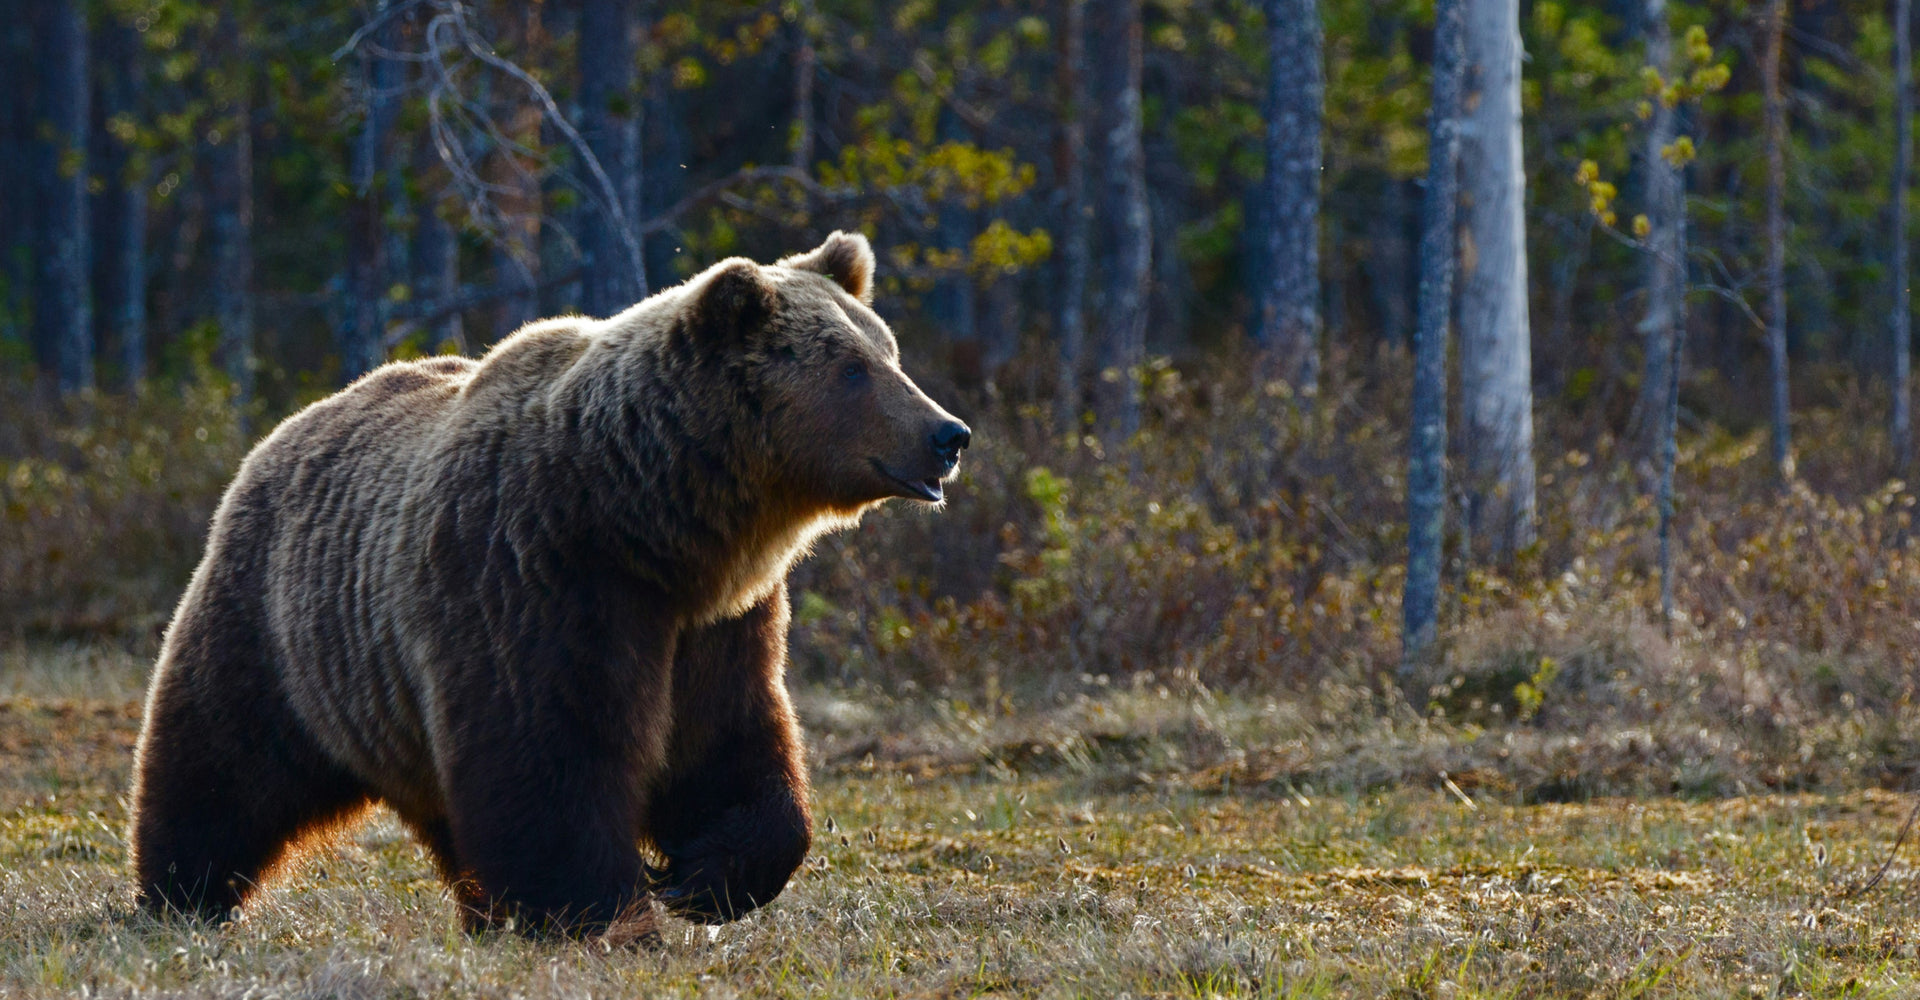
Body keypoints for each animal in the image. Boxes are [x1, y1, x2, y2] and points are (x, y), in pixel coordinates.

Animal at [131, 232, 975, 936]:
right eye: (852, 368)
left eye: (889, 352)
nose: (949, 434)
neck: (647, 521)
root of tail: (285, 429)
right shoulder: (536, 577)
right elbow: (550, 755)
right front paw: (605, 909)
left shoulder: (718, 622)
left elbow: (729, 740)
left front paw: (703, 876)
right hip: (280, 627)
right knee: (220, 762)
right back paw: (180, 895)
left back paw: (481, 913)